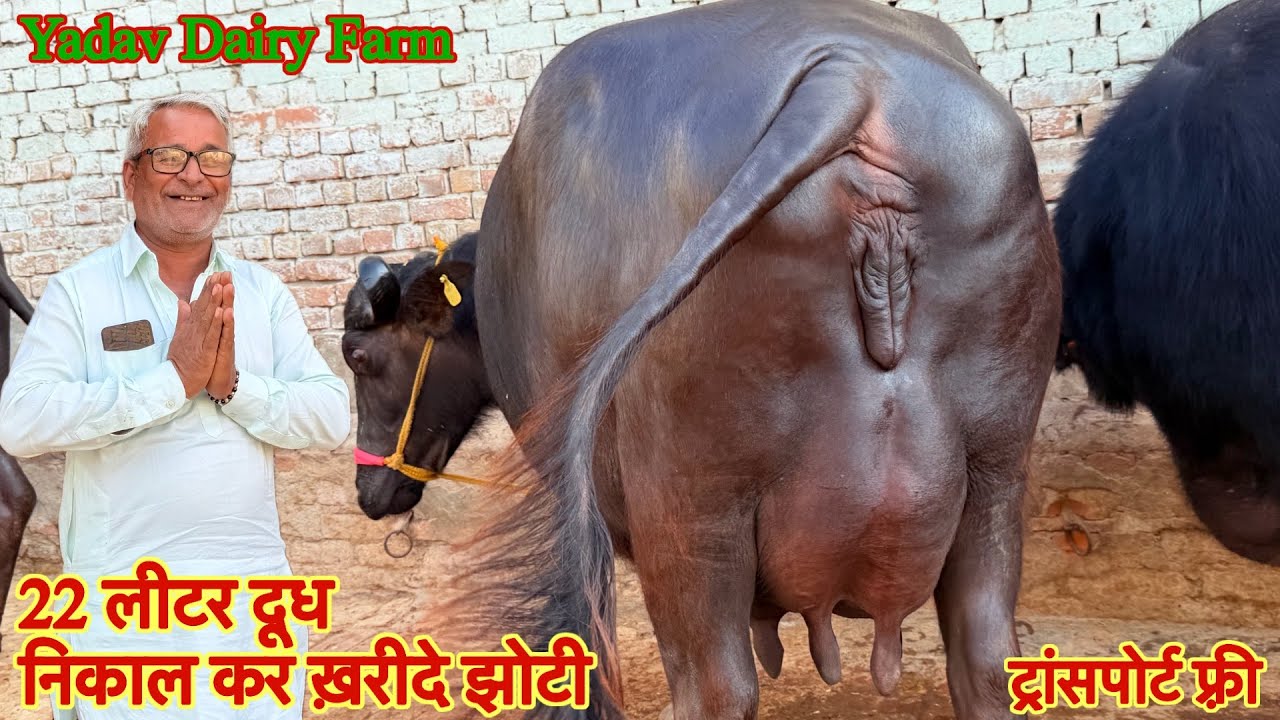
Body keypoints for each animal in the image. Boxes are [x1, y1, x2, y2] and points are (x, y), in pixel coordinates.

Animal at [342, 0, 1061, 717]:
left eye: (359, 357)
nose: (369, 492)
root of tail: (849, 75)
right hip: (996, 475)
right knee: (987, 661)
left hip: (690, 508)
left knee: (715, 686)